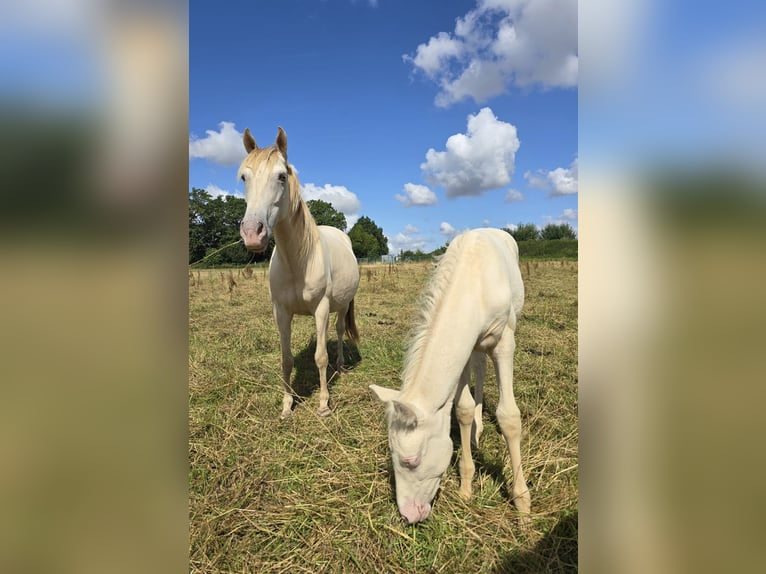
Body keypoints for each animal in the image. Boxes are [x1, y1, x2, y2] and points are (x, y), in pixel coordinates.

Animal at [238, 127, 360, 418]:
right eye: (244, 177)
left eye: (281, 176)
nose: (252, 233)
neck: (297, 262)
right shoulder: (280, 311)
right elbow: (286, 359)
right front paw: (287, 405)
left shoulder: (321, 308)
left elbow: (320, 357)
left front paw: (324, 404)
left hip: (341, 305)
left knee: (339, 332)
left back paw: (340, 366)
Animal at [370, 228, 529, 524]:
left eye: (411, 461)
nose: (408, 516)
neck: (475, 288)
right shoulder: (463, 348)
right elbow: (462, 409)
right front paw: (466, 488)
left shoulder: (504, 341)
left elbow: (509, 417)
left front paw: (523, 504)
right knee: (480, 366)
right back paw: (478, 428)